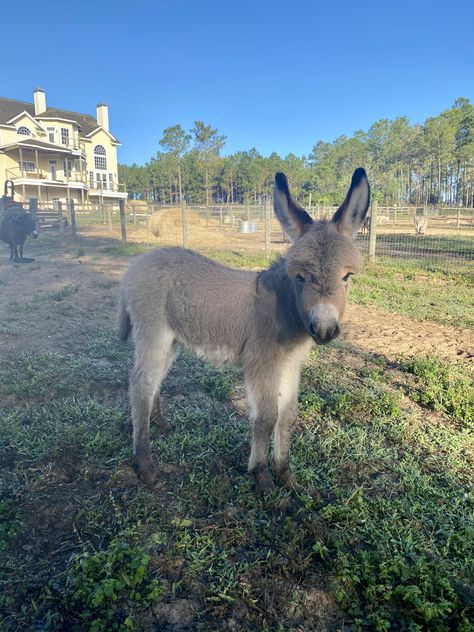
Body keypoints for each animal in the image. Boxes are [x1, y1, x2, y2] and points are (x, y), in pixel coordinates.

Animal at [118, 168, 370, 494]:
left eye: (346, 277)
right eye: (300, 277)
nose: (324, 329)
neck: (283, 307)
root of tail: (136, 265)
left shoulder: (290, 365)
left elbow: (288, 416)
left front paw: (285, 475)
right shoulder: (261, 364)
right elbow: (266, 417)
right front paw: (261, 476)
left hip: (171, 341)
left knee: (152, 382)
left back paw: (160, 423)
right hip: (152, 333)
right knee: (140, 385)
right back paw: (146, 465)